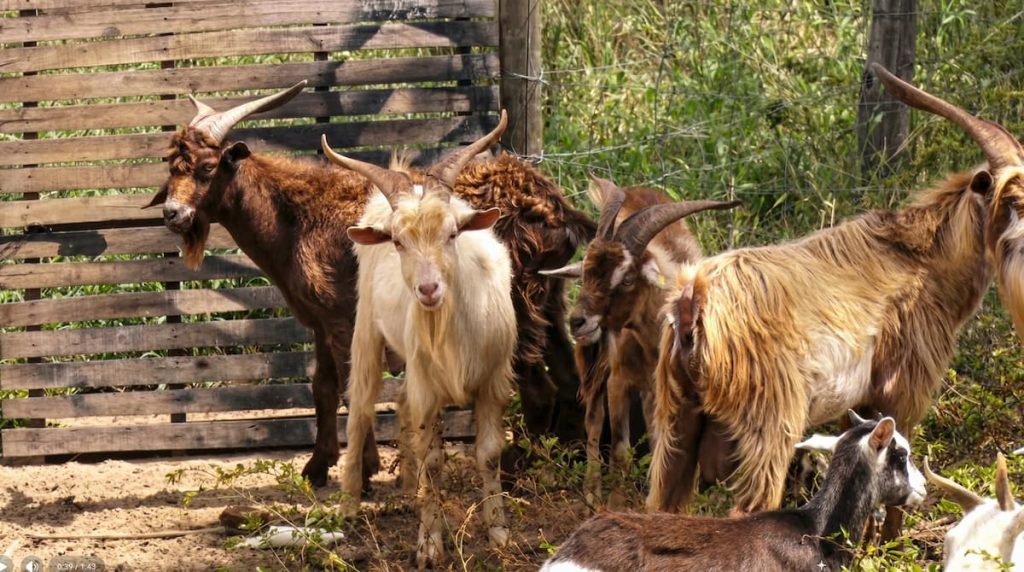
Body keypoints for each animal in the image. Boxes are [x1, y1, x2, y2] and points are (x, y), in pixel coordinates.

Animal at [153, 86, 594, 490]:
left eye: (207, 167)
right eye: (172, 166)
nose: (173, 214)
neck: (294, 217)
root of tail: (555, 207)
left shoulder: (341, 318)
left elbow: (354, 391)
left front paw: (363, 470)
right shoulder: (322, 320)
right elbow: (323, 387)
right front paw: (317, 467)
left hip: (513, 305)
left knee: (538, 387)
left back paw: (521, 470)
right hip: (549, 298)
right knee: (569, 377)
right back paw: (573, 457)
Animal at [321, 116, 517, 568]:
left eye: (452, 233)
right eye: (398, 241)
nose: (428, 290)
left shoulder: (493, 381)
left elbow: (489, 453)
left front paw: (499, 533)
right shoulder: (429, 387)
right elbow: (434, 461)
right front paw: (429, 544)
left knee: (401, 404)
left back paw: (410, 489)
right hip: (366, 330)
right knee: (361, 409)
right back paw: (350, 504)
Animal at [541, 178, 739, 508]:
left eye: (627, 279)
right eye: (586, 274)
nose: (577, 321)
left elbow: (669, 447)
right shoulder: (618, 381)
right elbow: (620, 451)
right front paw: (614, 504)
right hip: (596, 365)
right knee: (593, 422)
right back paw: (592, 493)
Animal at [647, 63, 1024, 542]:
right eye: (1012, 198)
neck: (923, 260)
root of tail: (695, 300)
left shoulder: (858, 409)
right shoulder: (903, 388)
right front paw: (887, 545)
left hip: (676, 420)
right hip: (769, 425)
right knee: (748, 507)